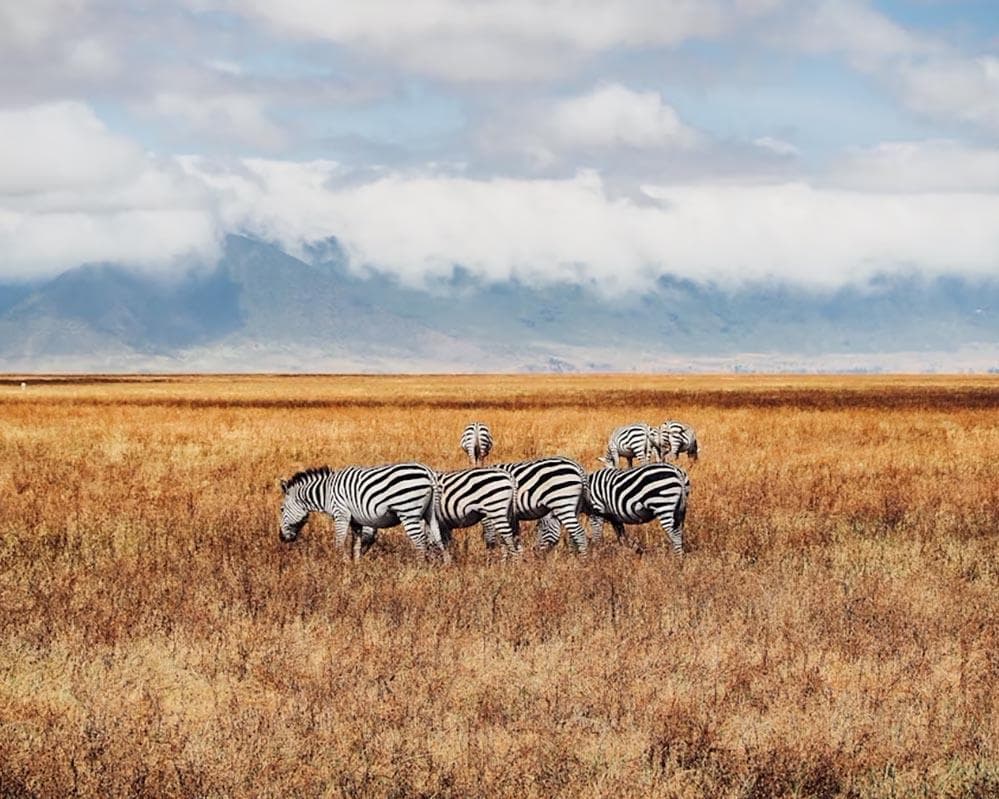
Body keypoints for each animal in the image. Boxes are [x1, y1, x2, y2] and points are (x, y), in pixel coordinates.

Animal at [278, 463, 445, 562]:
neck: (326, 493)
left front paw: (340, 565)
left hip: (408, 511)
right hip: (430, 512)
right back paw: (445, 565)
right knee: (438, 536)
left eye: (281, 509)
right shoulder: (356, 520)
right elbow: (356, 545)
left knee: (420, 541)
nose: (281, 538)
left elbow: (339, 542)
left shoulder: (341, 514)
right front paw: (356, 565)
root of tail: (428, 472)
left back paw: (419, 567)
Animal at [359, 467, 521, 557]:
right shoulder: (443, 525)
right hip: (504, 512)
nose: (359, 555)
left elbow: (430, 542)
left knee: (505, 535)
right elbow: (443, 542)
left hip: (495, 509)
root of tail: (508, 476)